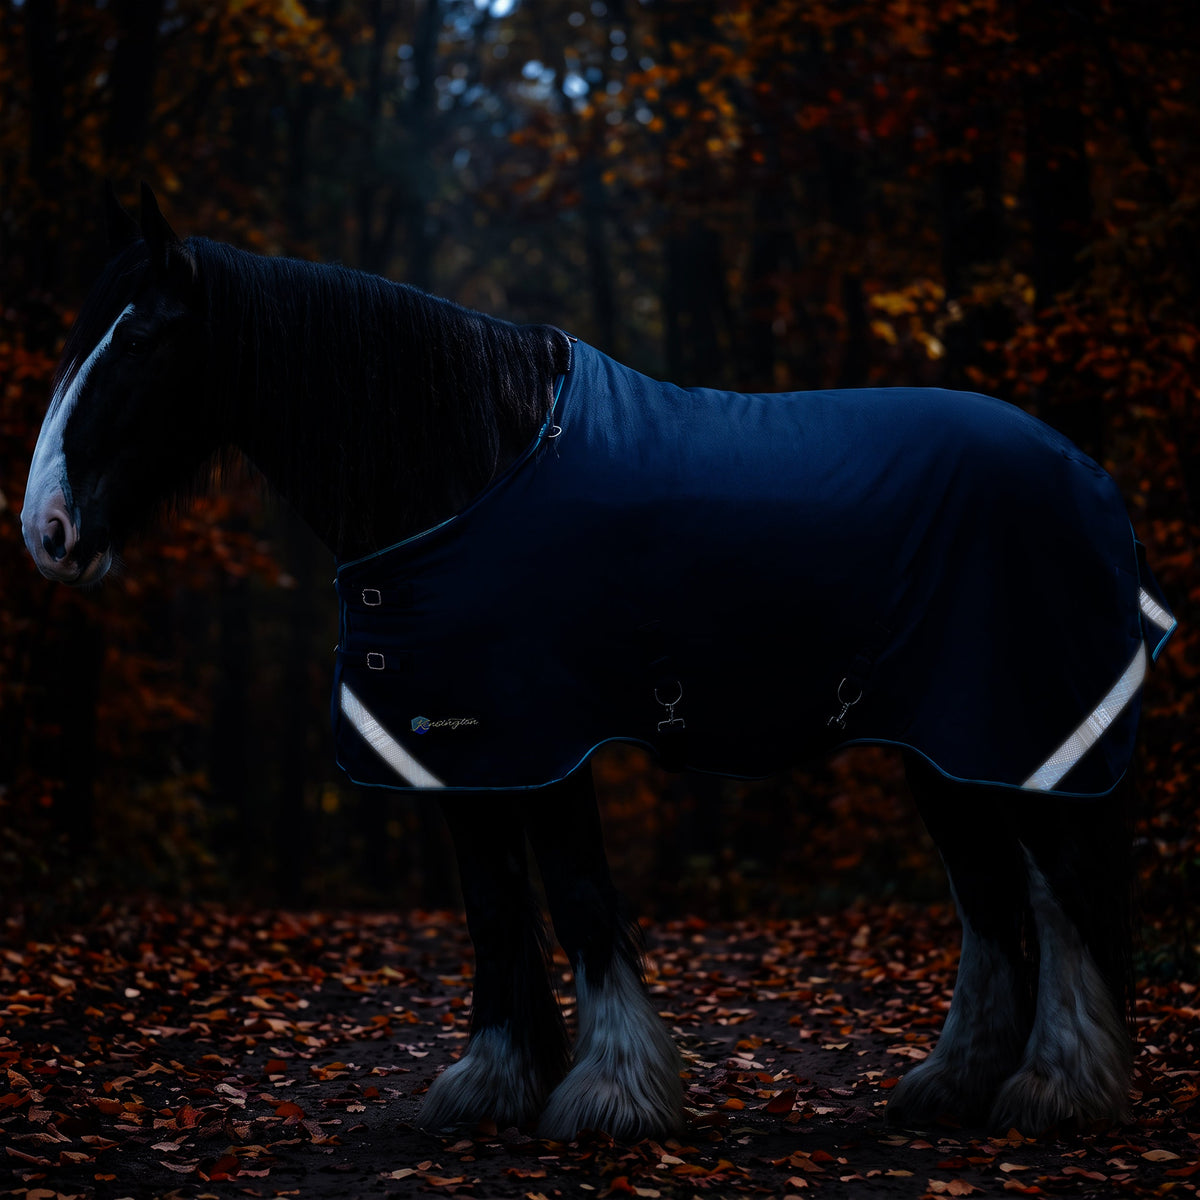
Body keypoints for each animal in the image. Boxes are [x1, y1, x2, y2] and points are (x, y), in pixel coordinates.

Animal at [22, 186, 1176, 1141]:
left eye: (139, 342)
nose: (47, 531)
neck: (471, 469)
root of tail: (1085, 471)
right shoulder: (465, 746)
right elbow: (493, 902)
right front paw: (491, 1085)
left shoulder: (546, 737)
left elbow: (576, 893)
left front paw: (611, 1094)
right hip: (947, 745)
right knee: (992, 895)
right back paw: (958, 1085)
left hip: (1018, 730)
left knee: (1055, 890)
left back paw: (1059, 1090)